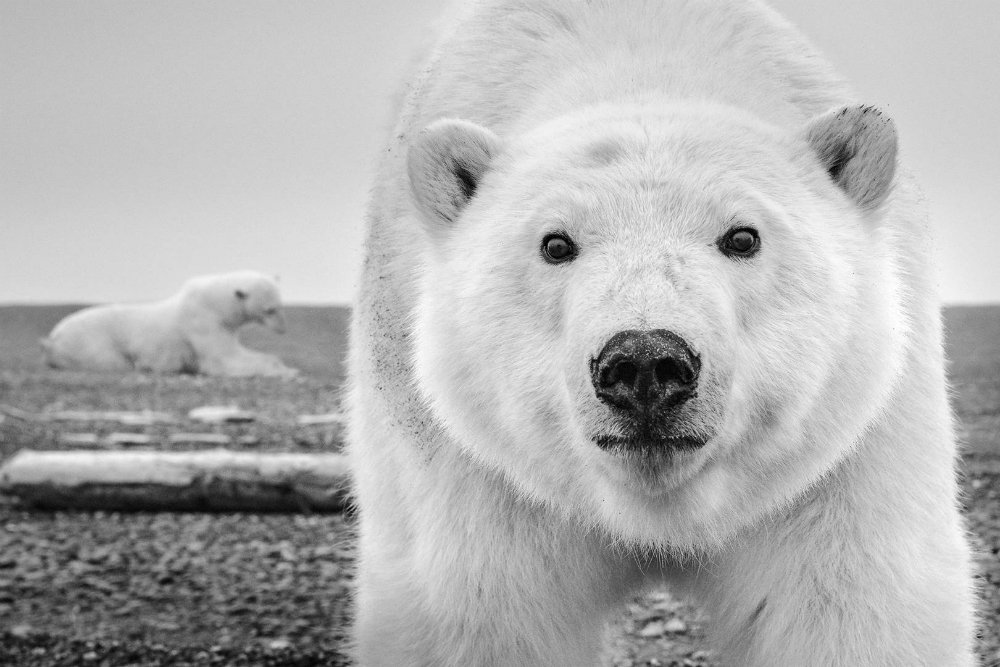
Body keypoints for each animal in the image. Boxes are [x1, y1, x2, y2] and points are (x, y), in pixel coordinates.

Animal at [43, 268, 298, 378]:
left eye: (280, 305)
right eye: (270, 310)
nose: (284, 328)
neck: (214, 302)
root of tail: (53, 337)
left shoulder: (224, 325)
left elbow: (239, 352)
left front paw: (286, 367)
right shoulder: (202, 322)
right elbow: (221, 361)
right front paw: (281, 371)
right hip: (89, 343)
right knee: (112, 361)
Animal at [346, 1, 976, 667]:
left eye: (743, 236)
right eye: (555, 243)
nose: (645, 362)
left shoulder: (844, 460)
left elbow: (855, 610)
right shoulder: (476, 473)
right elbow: (481, 618)